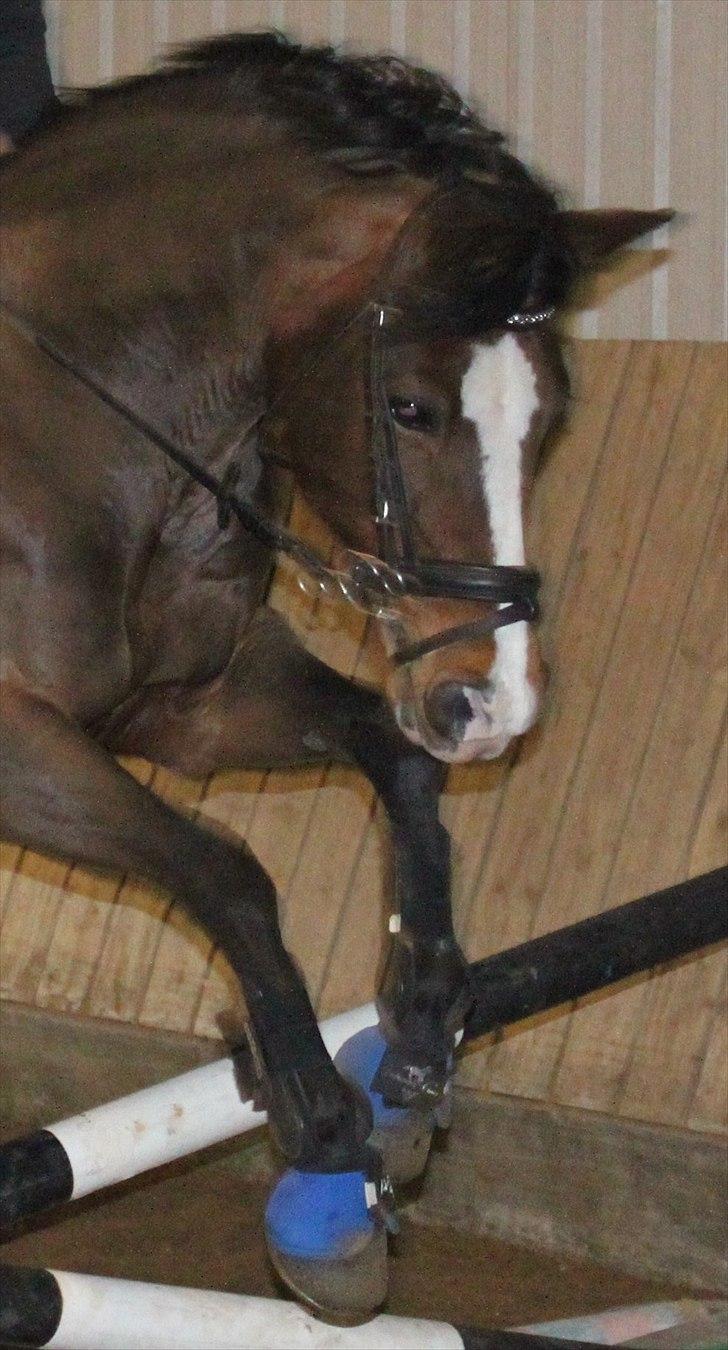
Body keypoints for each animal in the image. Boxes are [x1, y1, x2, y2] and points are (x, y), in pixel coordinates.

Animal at [0, 31, 670, 1317]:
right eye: (407, 407)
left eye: (550, 416)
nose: (492, 703)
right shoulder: (19, 742)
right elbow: (227, 870)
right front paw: (316, 1126)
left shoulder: (191, 705)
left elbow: (396, 767)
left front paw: (413, 1040)